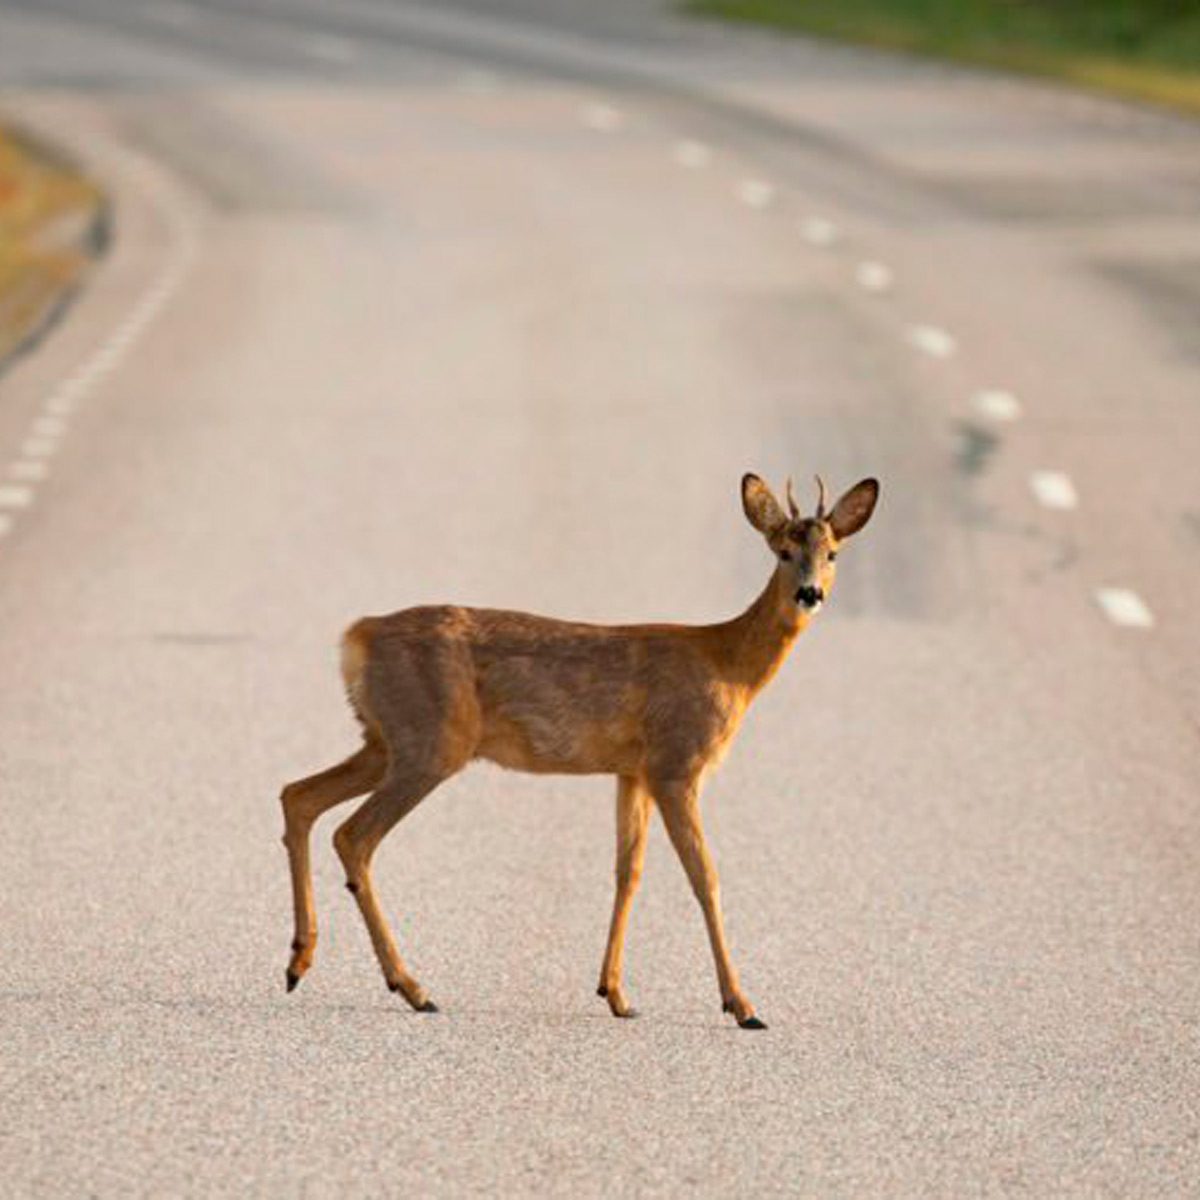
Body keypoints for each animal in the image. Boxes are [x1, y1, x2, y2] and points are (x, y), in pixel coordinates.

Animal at [280, 472, 879, 1029]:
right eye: (782, 551)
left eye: (832, 553)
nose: (809, 593)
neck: (728, 664)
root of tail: (357, 636)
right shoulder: (676, 763)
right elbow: (704, 876)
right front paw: (742, 1005)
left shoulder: (632, 771)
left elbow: (628, 871)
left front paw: (616, 994)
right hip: (429, 742)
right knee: (353, 834)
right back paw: (412, 987)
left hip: (384, 740)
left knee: (298, 795)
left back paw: (298, 962)